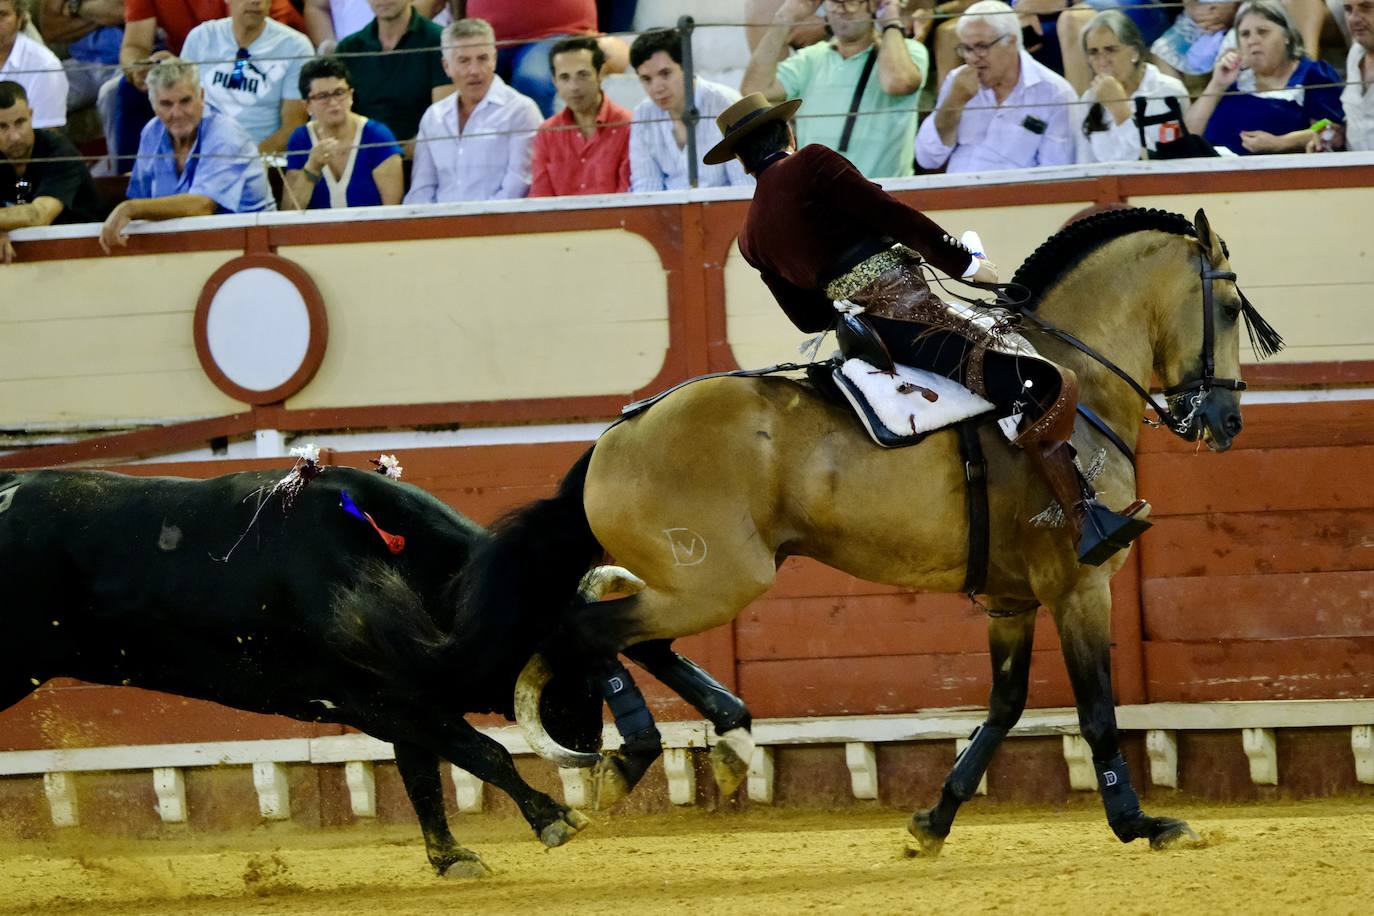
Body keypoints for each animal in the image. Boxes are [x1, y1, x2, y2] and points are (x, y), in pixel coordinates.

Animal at [1, 461, 601, 878]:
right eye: (572, 663)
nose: (592, 750)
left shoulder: (404, 699)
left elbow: (423, 775)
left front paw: (452, 858)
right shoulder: (371, 697)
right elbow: (482, 751)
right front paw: (555, 818)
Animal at [464, 211, 1286, 856]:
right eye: (1228, 304)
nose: (1227, 421)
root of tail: (615, 436)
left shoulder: (1012, 600)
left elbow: (1004, 707)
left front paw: (934, 820)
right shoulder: (1081, 586)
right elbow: (1098, 712)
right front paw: (1141, 823)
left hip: (694, 581)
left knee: (628, 632)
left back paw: (725, 738)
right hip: (719, 580)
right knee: (591, 626)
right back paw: (637, 753)